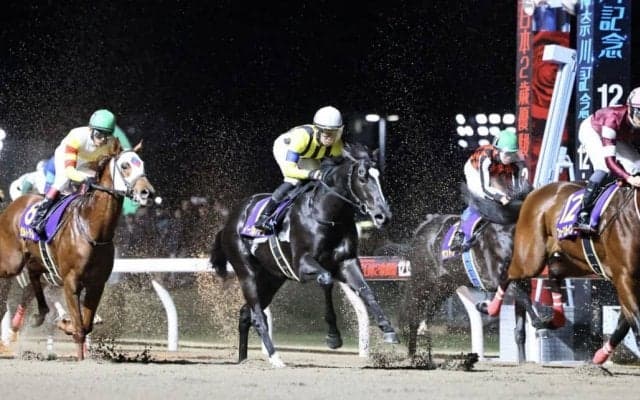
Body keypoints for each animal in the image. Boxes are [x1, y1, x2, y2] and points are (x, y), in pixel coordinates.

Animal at [0, 140, 154, 359]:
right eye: (125, 165)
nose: (147, 192)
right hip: (12, 263)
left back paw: (39, 315)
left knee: (33, 277)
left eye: (142, 164)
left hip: (36, 262)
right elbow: (80, 325)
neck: (93, 228)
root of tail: (12, 206)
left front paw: (68, 326)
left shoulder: (97, 283)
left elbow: (86, 324)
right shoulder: (71, 281)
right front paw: (78, 350)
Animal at [210, 143, 399, 367]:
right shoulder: (302, 265)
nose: (383, 216)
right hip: (246, 272)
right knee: (257, 315)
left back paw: (243, 360)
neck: (328, 216)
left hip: (272, 278)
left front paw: (388, 329)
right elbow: (326, 279)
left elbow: (366, 291)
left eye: (380, 177)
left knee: (245, 313)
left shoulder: (347, 262)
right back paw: (275, 358)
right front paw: (333, 337)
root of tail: (229, 222)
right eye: (362, 177)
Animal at [482, 179, 640, 364]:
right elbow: (635, 320)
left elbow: (624, 323)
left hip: (575, 261)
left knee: (554, 275)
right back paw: (491, 308)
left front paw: (600, 355)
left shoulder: (628, 281)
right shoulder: (623, 277)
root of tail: (533, 194)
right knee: (508, 274)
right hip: (531, 259)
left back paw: (553, 320)